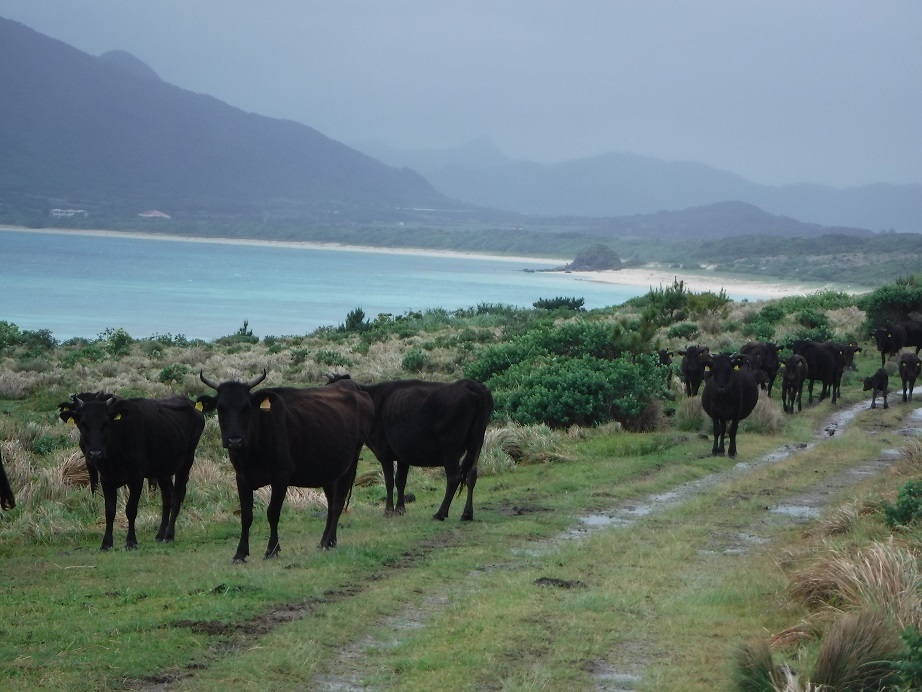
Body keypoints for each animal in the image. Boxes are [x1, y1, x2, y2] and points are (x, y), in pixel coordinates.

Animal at [60, 394, 205, 552]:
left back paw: (169, 535)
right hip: (162, 470)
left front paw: (131, 541)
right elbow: (109, 511)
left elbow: (131, 510)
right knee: (168, 498)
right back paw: (160, 534)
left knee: (177, 496)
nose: (95, 454)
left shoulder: (136, 478)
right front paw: (106, 543)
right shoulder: (106, 479)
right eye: (83, 424)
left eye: (106, 423)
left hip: (186, 463)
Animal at [199, 374, 374, 564]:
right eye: (221, 408)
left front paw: (272, 549)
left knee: (337, 504)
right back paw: (326, 541)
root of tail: (351, 385)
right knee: (331, 502)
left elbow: (273, 513)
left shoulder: (281, 477)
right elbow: (246, 516)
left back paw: (327, 542)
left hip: (350, 463)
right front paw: (240, 553)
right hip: (329, 471)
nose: (234, 440)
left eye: (247, 407)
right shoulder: (242, 478)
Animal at [328, 376, 492, 520]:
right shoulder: (402, 456)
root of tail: (471, 384)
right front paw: (400, 509)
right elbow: (401, 481)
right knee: (471, 474)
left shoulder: (384, 453)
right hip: (477, 441)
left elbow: (389, 481)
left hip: (450, 447)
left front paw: (388, 510)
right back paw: (467, 514)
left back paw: (440, 513)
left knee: (454, 477)